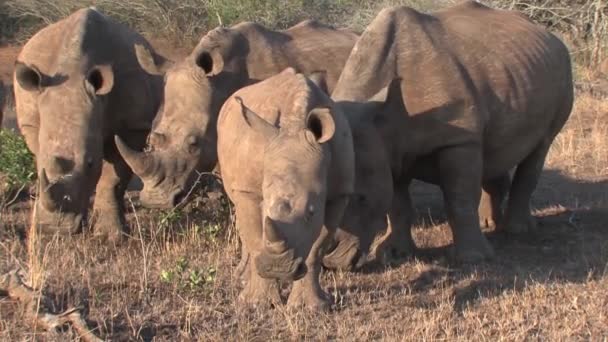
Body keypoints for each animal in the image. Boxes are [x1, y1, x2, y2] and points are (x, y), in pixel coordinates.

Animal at [14, 6, 164, 239]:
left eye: (90, 163)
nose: (55, 229)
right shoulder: (32, 122)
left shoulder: (131, 125)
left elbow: (113, 178)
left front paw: (111, 237)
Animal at [216, 68, 354, 312]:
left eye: (311, 212)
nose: (278, 268)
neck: (295, 125)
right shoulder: (248, 190)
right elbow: (255, 238)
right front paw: (254, 304)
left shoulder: (338, 194)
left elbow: (317, 247)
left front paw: (311, 307)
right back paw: (242, 279)